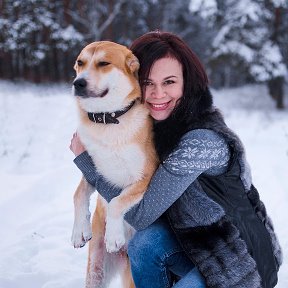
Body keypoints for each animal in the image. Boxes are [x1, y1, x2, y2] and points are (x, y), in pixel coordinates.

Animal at [71, 41, 159, 288]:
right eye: (80, 63)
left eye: (104, 63)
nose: (78, 83)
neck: (108, 121)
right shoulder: (92, 170)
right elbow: (78, 194)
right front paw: (79, 232)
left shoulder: (146, 176)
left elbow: (118, 202)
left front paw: (113, 236)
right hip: (96, 269)